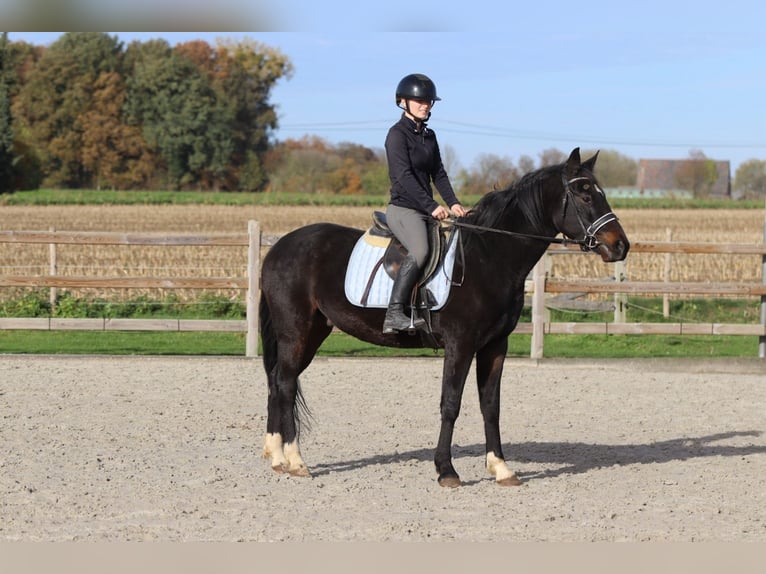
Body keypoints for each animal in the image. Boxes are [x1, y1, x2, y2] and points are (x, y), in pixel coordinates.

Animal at [259, 147, 630, 487]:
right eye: (584, 194)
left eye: (600, 193)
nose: (621, 246)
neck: (488, 257)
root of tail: (279, 248)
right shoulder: (460, 345)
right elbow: (451, 403)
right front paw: (446, 470)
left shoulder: (495, 346)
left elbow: (491, 405)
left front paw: (501, 468)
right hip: (296, 332)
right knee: (286, 382)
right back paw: (296, 462)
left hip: (313, 332)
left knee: (277, 381)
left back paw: (277, 458)